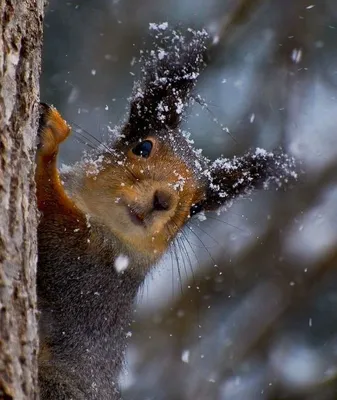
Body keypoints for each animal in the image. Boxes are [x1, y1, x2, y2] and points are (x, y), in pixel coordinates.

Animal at [35, 28, 296, 400]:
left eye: (196, 208)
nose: (163, 199)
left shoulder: (90, 276)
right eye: (142, 146)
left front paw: (51, 140)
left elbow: (52, 228)